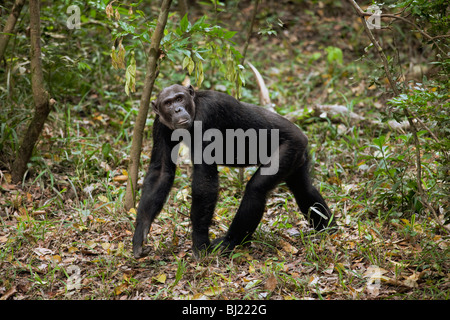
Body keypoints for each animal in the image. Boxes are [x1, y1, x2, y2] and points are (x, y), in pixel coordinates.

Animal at [131, 84, 334, 258]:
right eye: (168, 103)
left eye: (179, 98)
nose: (177, 110)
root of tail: (301, 135)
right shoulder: (159, 125)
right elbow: (161, 171)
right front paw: (140, 233)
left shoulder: (207, 116)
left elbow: (205, 180)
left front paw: (200, 243)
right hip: (298, 155)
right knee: (303, 189)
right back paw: (329, 227)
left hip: (290, 148)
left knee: (256, 189)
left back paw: (230, 242)